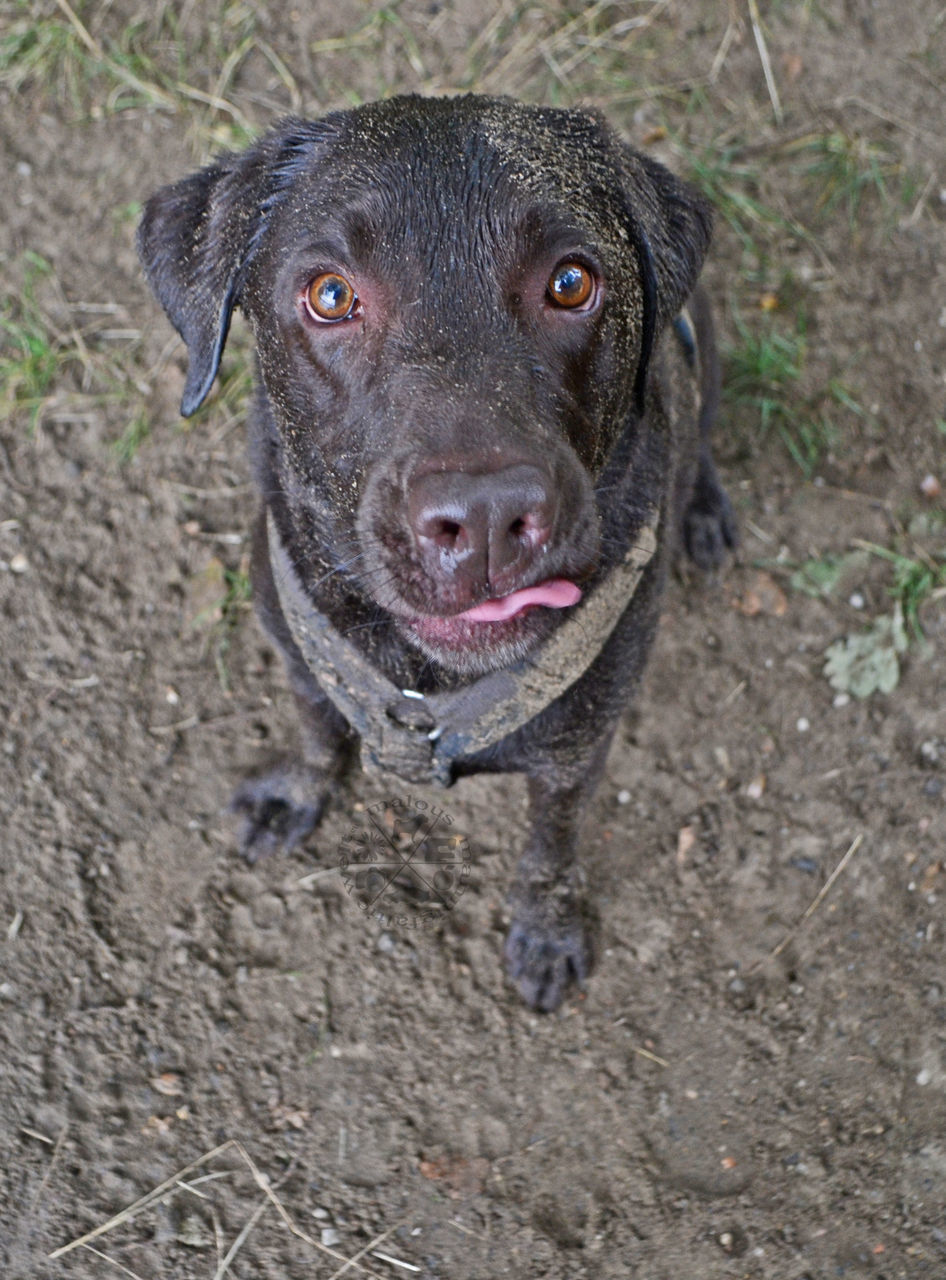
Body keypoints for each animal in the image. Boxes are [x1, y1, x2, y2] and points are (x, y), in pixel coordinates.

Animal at [136, 92, 737, 1008]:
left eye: (572, 281)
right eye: (330, 294)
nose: (487, 516)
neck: (428, 687)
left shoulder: (575, 752)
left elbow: (552, 842)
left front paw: (548, 927)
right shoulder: (298, 654)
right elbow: (318, 727)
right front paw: (298, 792)